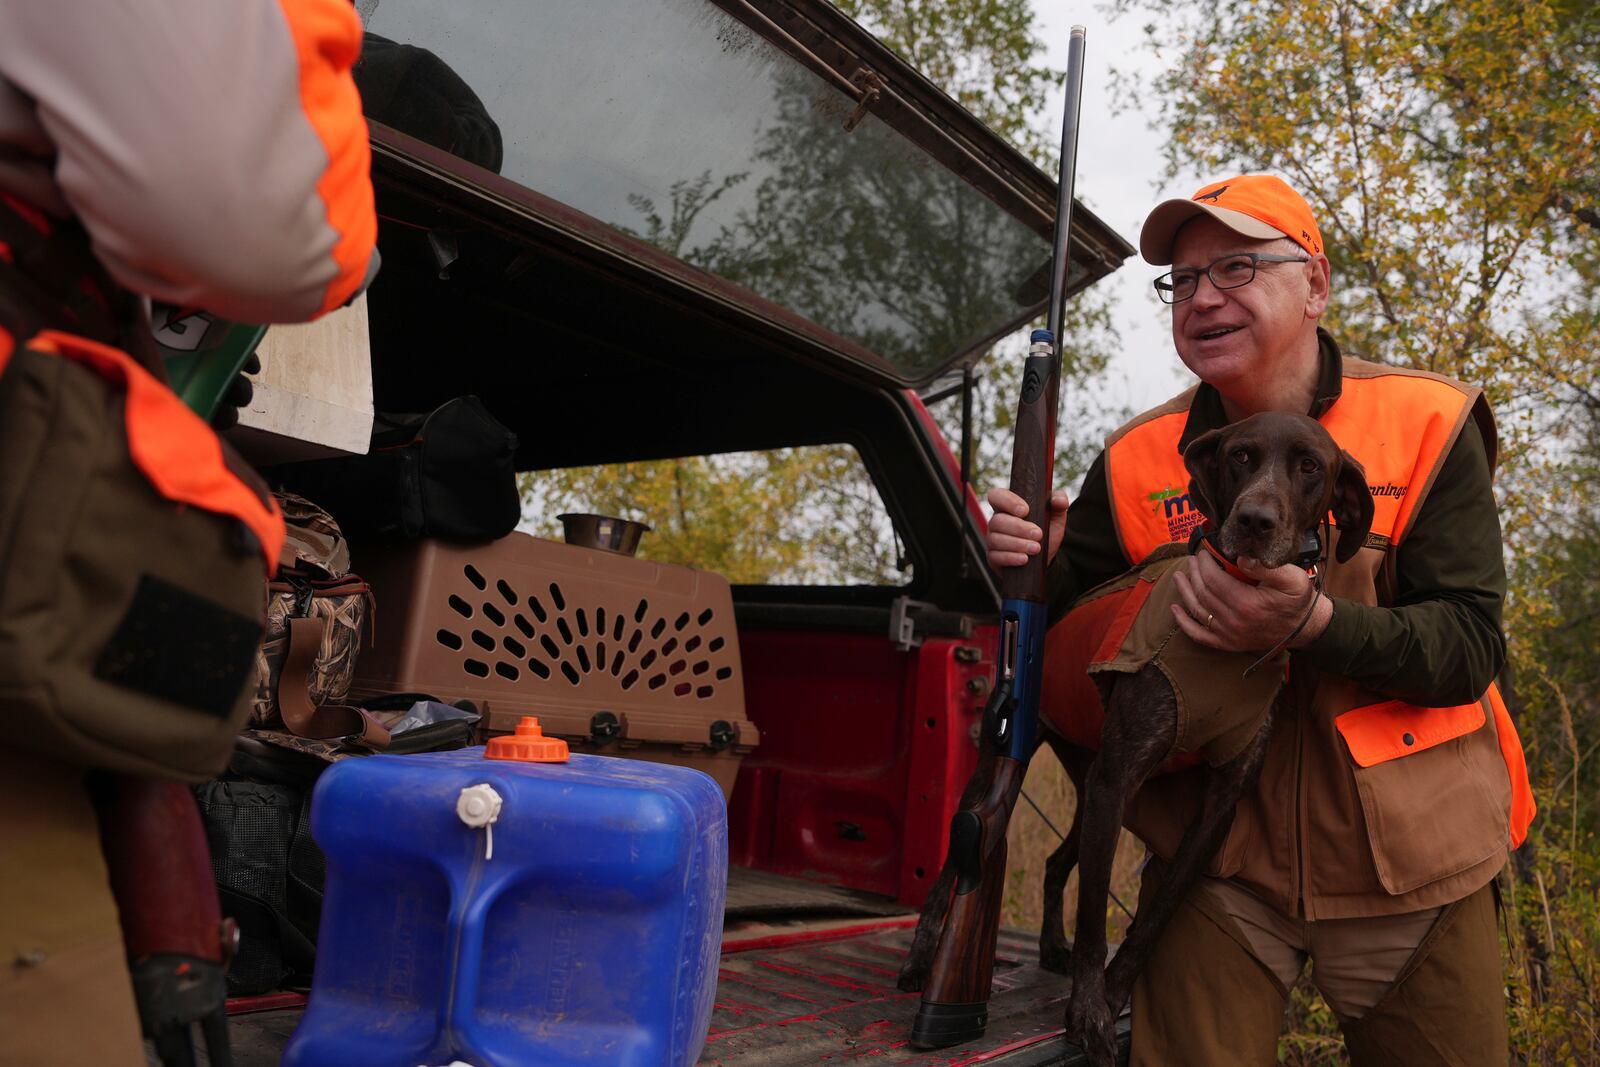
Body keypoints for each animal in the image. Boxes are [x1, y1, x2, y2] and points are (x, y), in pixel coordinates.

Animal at [902, 412, 1376, 1062]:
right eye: (1241, 456)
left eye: (1309, 466)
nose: (1254, 522)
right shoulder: (1119, 777)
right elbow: (1095, 915)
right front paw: (1088, 1013)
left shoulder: (1216, 803)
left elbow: (1154, 918)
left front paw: (1113, 996)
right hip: (1037, 777)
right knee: (962, 850)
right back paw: (925, 961)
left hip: (1091, 788)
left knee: (1055, 862)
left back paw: (1048, 946)